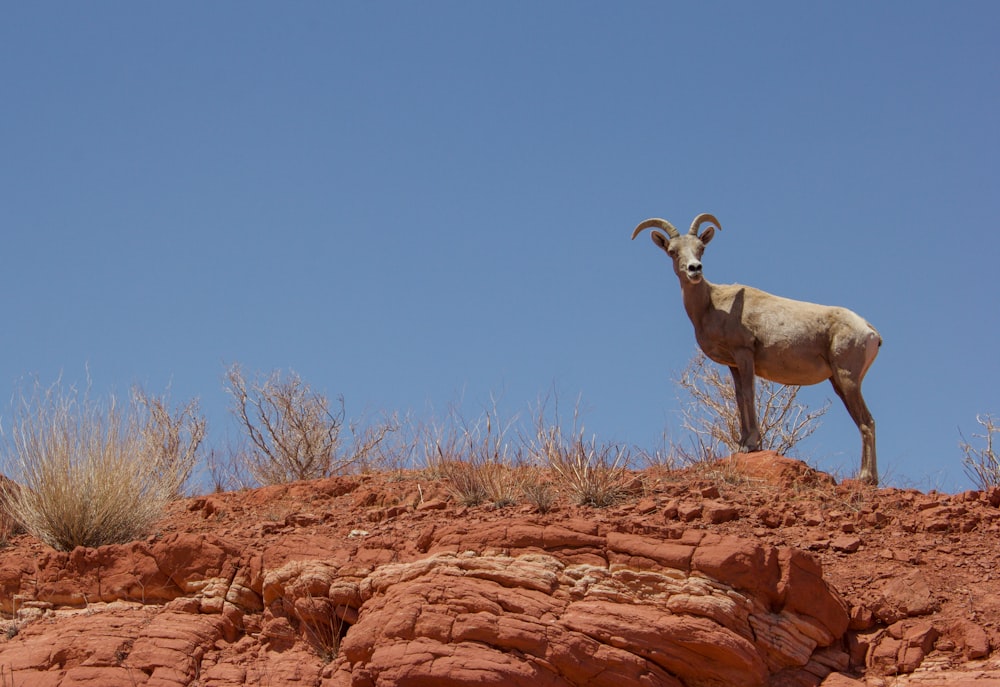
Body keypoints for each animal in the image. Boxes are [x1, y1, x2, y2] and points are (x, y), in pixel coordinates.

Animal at [632, 212, 884, 486]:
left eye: (701, 248)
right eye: (672, 251)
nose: (694, 269)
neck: (711, 305)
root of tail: (870, 331)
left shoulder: (745, 354)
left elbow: (749, 394)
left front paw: (752, 444)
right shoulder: (732, 364)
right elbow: (739, 397)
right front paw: (742, 443)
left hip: (848, 380)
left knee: (867, 422)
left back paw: (865, 478)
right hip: (838, 383)